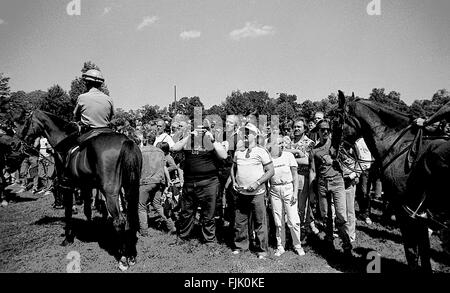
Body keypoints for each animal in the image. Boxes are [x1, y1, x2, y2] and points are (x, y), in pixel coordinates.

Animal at [16, 110, 142, 270]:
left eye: (26, 121)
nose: (20, 144)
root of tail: (126, 140)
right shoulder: (86, 186)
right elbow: (87, 210)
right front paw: (90, 229)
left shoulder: (66, 186)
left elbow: (68, 212)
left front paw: (68, 238)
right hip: (131, 187)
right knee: (131, 217)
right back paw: (131, 255)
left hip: (110, 192)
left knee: (119, 220)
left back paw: (123, 259)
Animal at [334, 89, 450, 272]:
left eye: (336, 120)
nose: (332, 152)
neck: (398, 147)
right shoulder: (420, 216)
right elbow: (423, 251)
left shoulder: (405, 211)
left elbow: (412, 251)